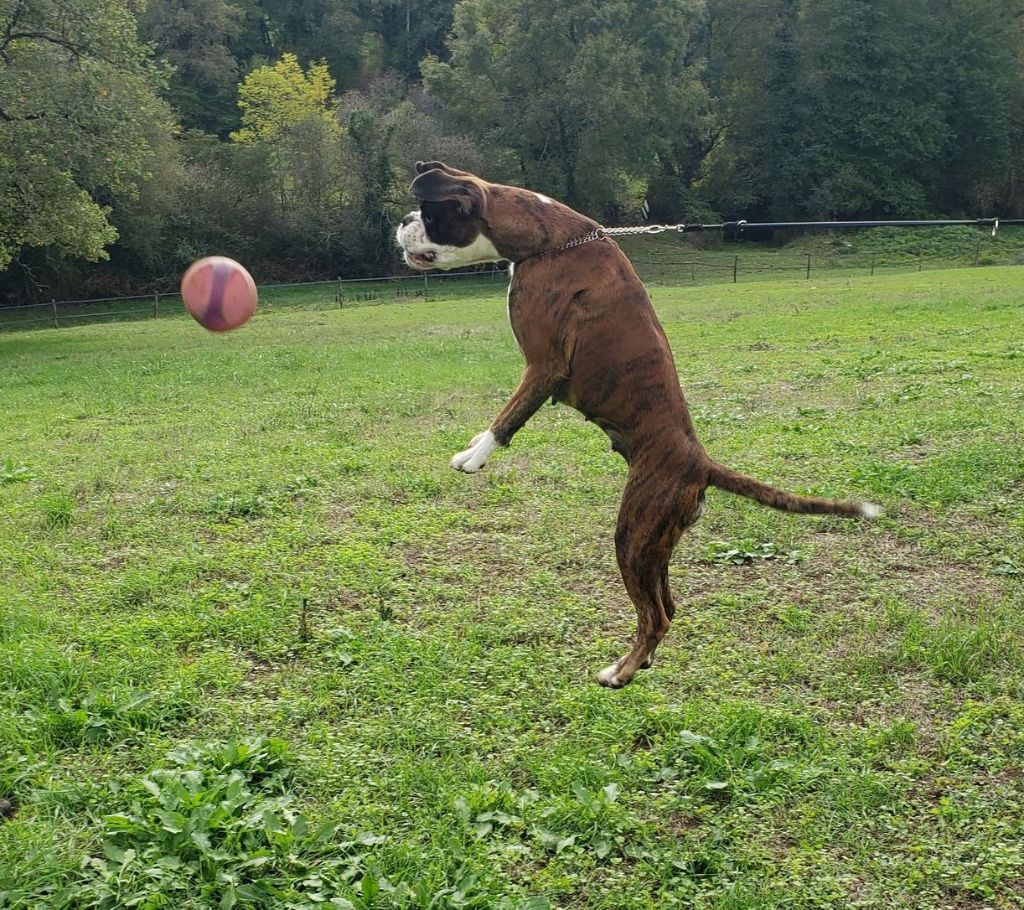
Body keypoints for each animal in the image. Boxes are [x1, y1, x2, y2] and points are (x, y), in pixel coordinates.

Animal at [396, 161, 878, 688]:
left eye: (428, 214)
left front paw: (474, 456)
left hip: (634, 534)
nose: (402, 222)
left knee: (657, 616)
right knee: (667, 605)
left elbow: (508, 416)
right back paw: (640, 662)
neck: (550, 240)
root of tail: (701, 463)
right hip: (658, 545)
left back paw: (620, 672)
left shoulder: (544, 366)